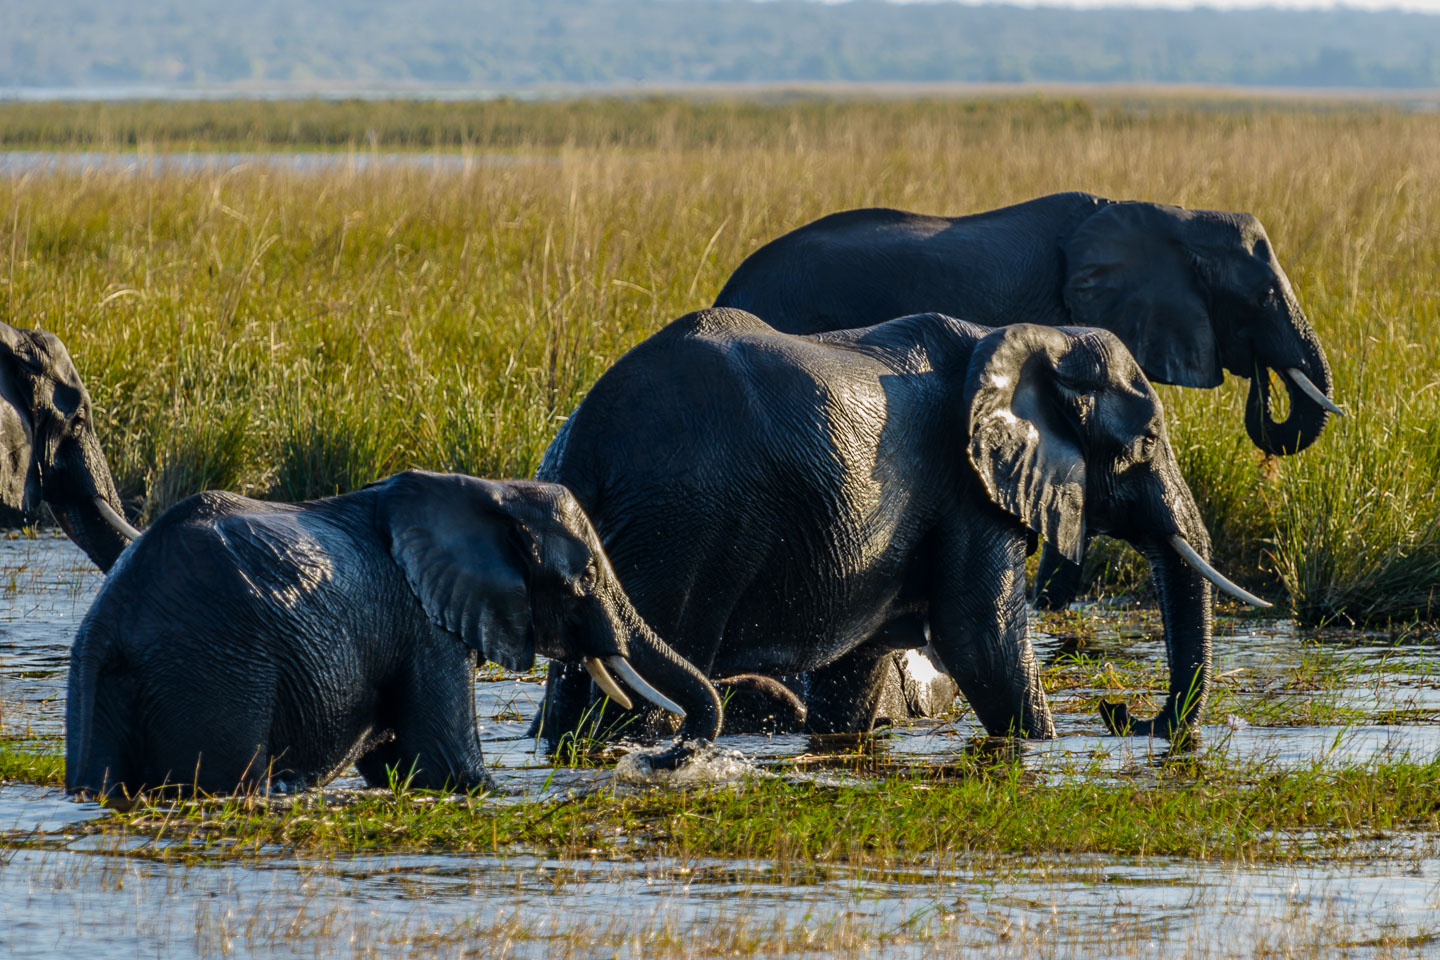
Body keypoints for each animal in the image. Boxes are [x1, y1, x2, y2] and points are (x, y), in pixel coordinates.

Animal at [66, 472, 720, 805]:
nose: (653, 759)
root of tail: (112, 628)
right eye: (582, 577)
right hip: (218, 668)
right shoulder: (422, 626)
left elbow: (397, 768)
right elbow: (449, 771)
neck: (489, 491)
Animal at [532, 308, 1272, 742]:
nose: (1120, 713)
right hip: (683, 528)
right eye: (1146, 440)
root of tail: (591, 439)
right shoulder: (967, 486)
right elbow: (981, 640)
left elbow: (857, 672)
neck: (1035, 337)